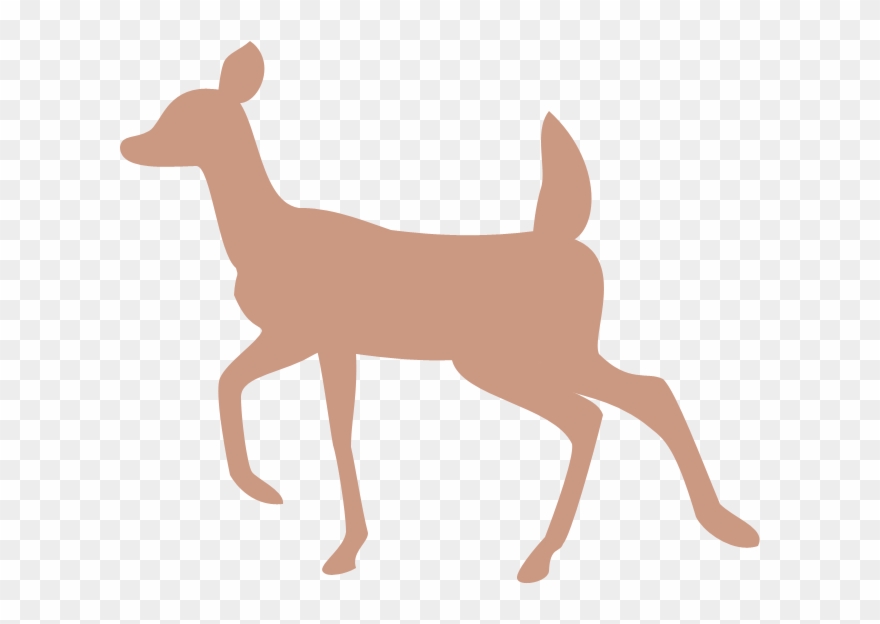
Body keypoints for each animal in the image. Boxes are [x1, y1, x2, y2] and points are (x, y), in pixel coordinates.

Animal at [120, 42, 759, 583]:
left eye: (186, 119)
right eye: (170, 111)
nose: (130, 145)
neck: (264, 238)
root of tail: (565, 238)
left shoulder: (322, 336)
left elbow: (330, 426)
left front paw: (340, 544)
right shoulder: (301, 337)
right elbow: (232, 382)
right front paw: (266, 491)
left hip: (510, 358)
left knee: (600, 410)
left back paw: (545, 556)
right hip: (544, 354)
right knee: (636, 396)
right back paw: (720, 527)